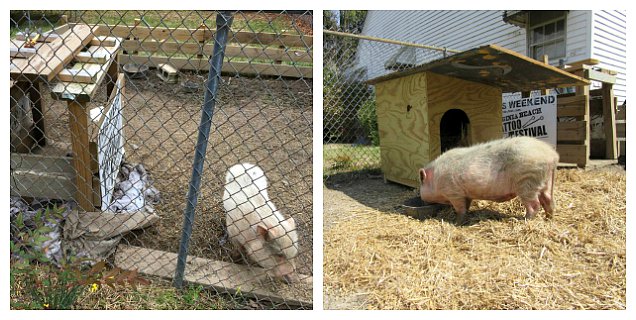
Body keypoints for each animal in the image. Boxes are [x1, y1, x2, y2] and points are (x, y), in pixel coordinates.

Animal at [420, 136, 560, 224]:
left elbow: (460, 209)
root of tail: (552, 155)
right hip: (546, 182)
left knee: (534, 205)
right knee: (548, 200)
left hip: (527, 182)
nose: (422, 200)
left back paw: (524, 220)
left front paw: (456, 222)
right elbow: (466, 206)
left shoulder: (454, 192)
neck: (436, 178)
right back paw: (548, 219)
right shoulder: (466, 194)